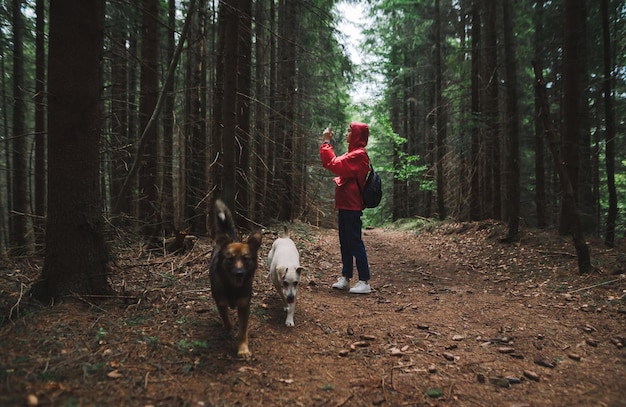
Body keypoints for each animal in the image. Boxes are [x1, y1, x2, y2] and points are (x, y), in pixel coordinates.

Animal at [207, 199, 260, 358]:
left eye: (246, 259)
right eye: (230, 259)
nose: (239, 273)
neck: (232, 288)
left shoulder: (244, 305)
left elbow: (243, 330)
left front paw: (243, 349)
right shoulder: (220, 302)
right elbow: (227, 321)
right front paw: (229, 329)